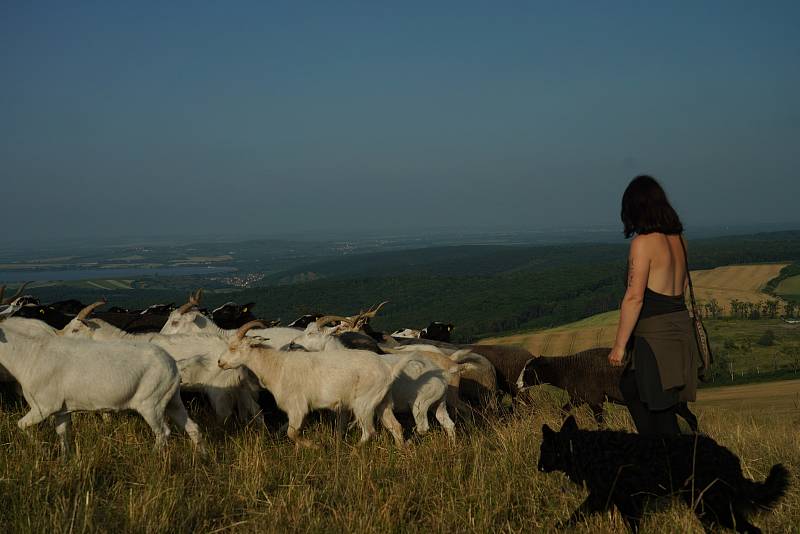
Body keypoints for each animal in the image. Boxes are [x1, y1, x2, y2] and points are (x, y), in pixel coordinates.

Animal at [0, 316, 205, 458]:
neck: (31, 355)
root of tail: (174, 364)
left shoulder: (43, 407)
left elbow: (21, 425)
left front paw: (42, 451)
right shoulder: (61, 410)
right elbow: (63, 434)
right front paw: (66, 460)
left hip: (151, 404)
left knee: (162, 433)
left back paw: (153, 457)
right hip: (172, 400)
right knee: (193, 427)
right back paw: (202, 457)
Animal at [536, 418, 788, 534]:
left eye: (542, 450)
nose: (537, 466)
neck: (586, 450)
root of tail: (728, 457)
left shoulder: (620, 500)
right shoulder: (613, 499)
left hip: (712, 505)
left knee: (751, 529)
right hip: (704, 506)